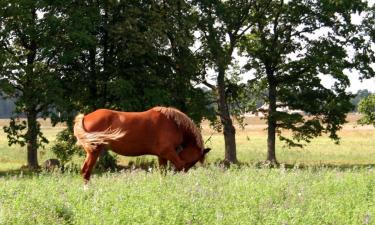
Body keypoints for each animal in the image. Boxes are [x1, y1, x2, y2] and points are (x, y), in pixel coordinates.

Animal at [72, 106, 210, 183]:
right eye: (194, 160)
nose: (184, 172)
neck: (174, 124)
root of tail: (85, 117)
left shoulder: (162, 156)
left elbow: (163, 173)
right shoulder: (169, 152)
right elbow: (179, 165)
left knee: (85, 171)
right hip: (94, 152)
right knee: (86, 171)